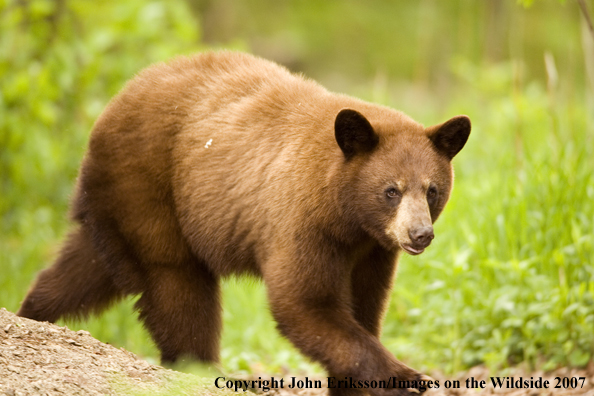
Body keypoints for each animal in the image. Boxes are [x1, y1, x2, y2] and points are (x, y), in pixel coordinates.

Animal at [18, 51, 470, 394]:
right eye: (391, 190)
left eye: (432, 190)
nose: (420, 234)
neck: (345, 215)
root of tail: (114, 103)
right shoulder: (301, 221)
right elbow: (305, 303)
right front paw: (405, 376)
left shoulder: (372, 250)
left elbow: (364, 306)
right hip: (149, 188)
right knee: (177, 285)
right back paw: (201, 367)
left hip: (116, 211)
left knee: (85, 268)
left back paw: (32, 314)